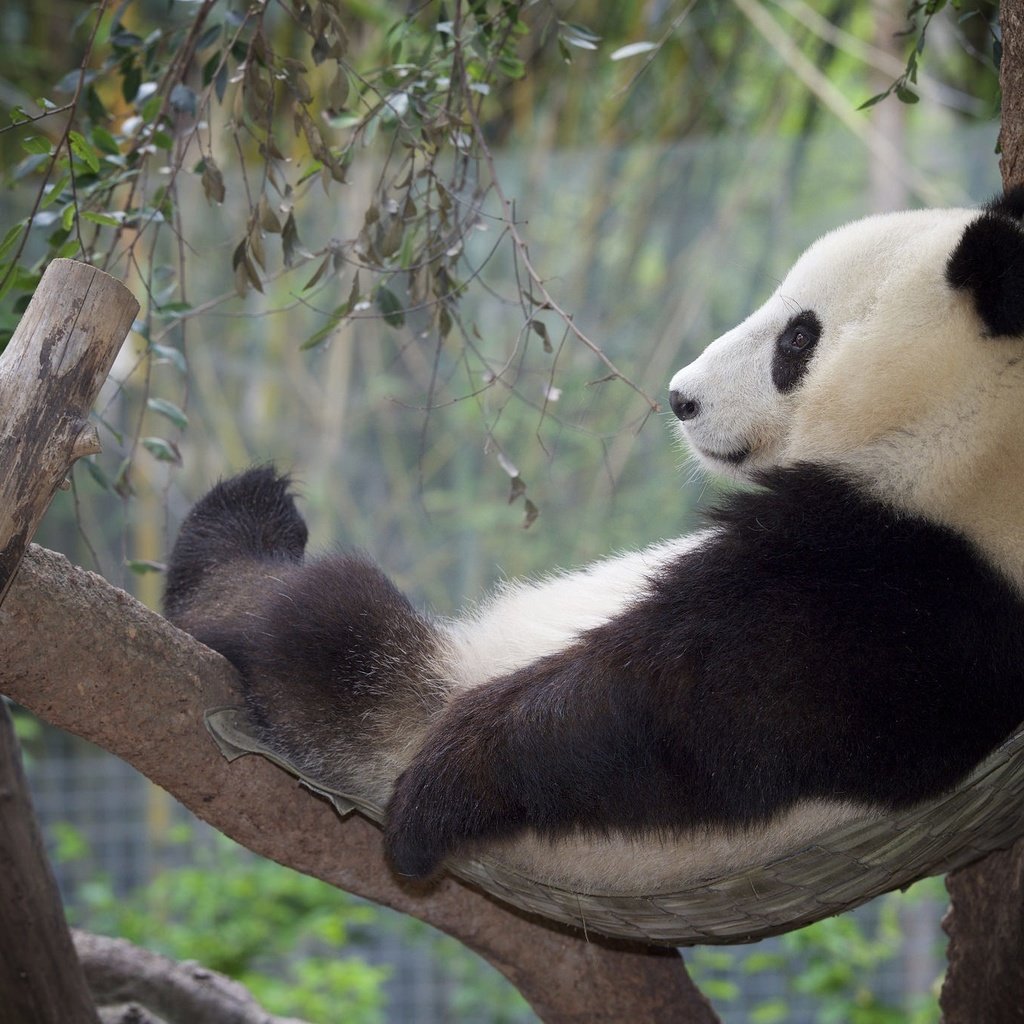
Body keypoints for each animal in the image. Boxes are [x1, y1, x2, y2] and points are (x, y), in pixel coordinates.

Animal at [163, 190, 1024, 888]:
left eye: (797, 339)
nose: (682, 398)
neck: (967, 442)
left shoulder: (891, 595)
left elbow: (671, 711)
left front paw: (441, 790)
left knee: (323, 624)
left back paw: (241, 541)